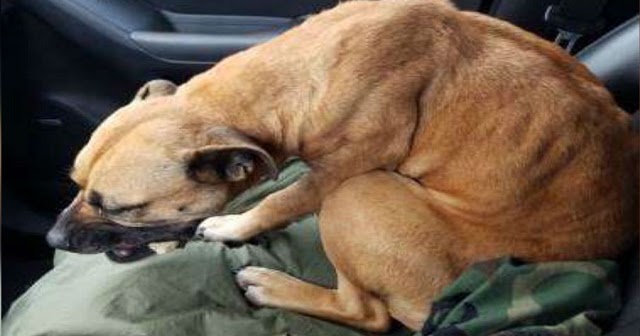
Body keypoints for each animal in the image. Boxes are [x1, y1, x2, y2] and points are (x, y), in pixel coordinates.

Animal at [45, 0, 636, 330]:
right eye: (75, 185)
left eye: (122, 209)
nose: (52, 239)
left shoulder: (344, 167)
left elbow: (283, 197)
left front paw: (232, 226)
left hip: (358, 196)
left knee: (368, 315)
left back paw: (276, 287)